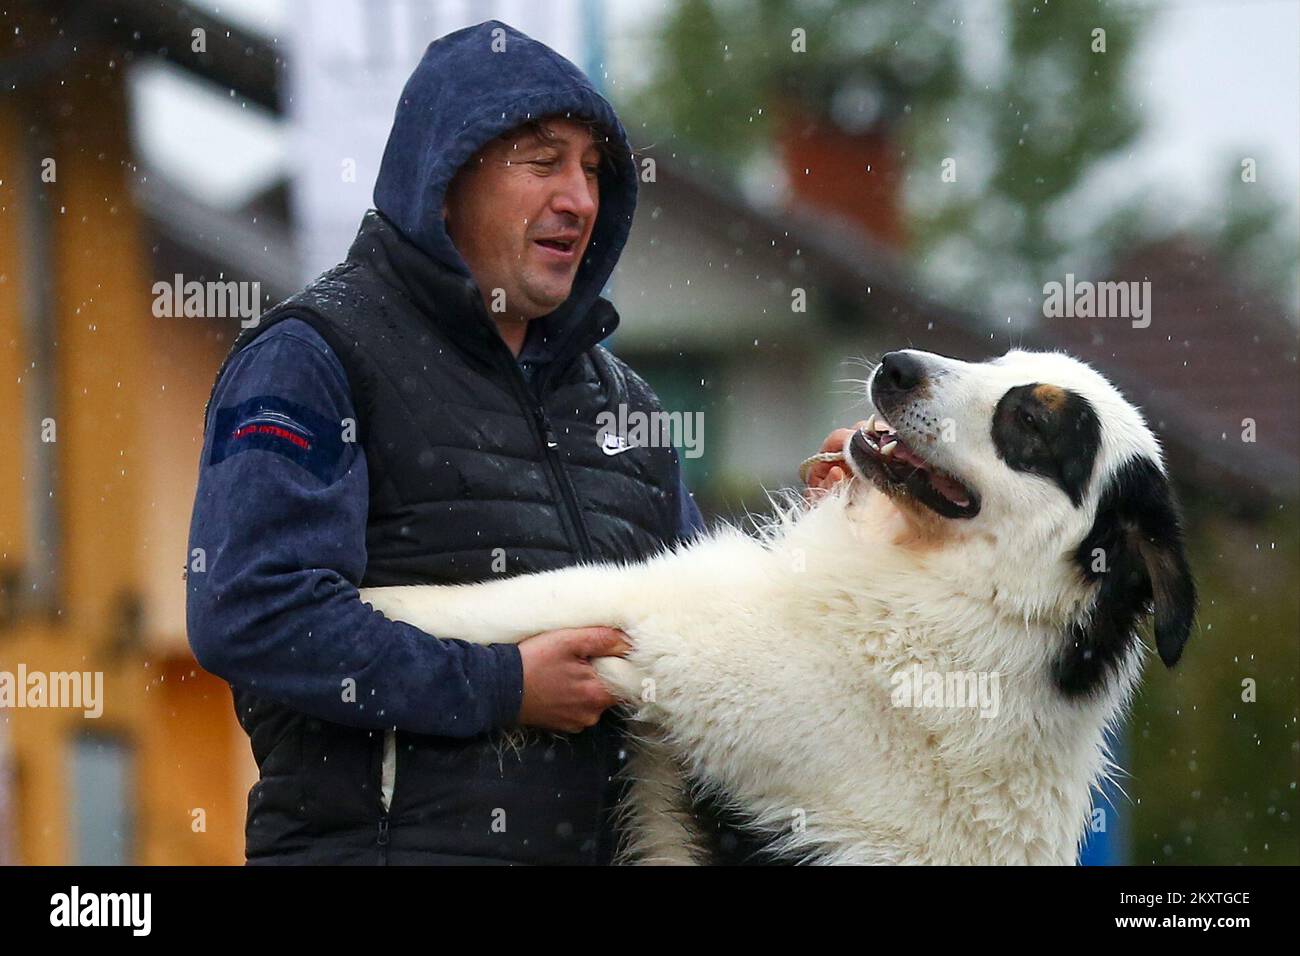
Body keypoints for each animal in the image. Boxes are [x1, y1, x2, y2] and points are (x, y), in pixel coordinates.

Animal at [361, 348, 1190, 863]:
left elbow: (502, 599)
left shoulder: (677, 628)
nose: (896, 367)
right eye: (999, 361)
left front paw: (369, 601)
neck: (982, 597)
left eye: (1030, 422)